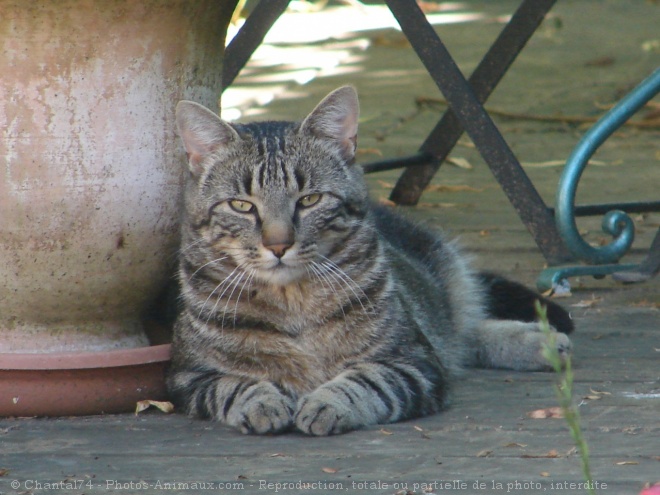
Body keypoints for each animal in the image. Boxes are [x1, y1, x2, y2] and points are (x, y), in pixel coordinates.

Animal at [166, 87, 572, 436]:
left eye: (310, 200)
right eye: (241, 205)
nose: (278, 245)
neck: (292, 301)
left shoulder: (413, 362)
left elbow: (364, 381)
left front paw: (327, 402)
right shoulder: (188, 377)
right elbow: (235, 385)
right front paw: (263, 401)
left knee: (462, 329)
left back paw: (540, 341)